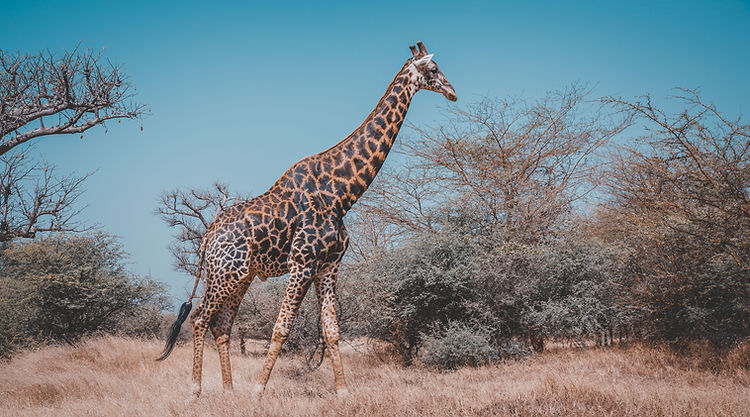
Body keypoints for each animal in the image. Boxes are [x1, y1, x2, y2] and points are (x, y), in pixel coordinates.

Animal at [156, 41, 456, 396]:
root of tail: (206, 238)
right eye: (434, 69)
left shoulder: (329, 265)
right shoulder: (302, 263)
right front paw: (258, 391)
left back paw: (229, 391)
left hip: (240, 277)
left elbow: (331, 330)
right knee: (200, 317)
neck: (341, 194)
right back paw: (196, 390)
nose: (452, 92)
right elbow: (281, 328)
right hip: (225, 273)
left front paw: (342, 392)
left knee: (222, 324)